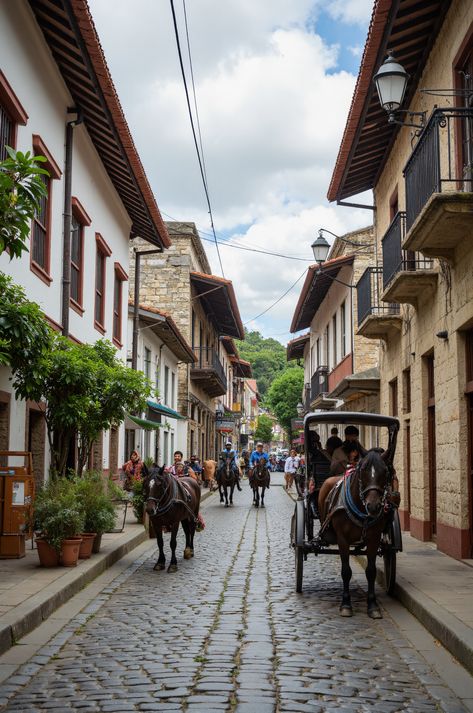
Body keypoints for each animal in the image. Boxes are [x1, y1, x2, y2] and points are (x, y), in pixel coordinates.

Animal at [318, 450, 392, 616]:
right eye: (362, 470)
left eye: (385, 471)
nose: (373, 506)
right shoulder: (342, 539)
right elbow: (346, 571)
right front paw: (346, 604)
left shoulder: (374, 539)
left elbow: (371, 571)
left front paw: (372, 605)